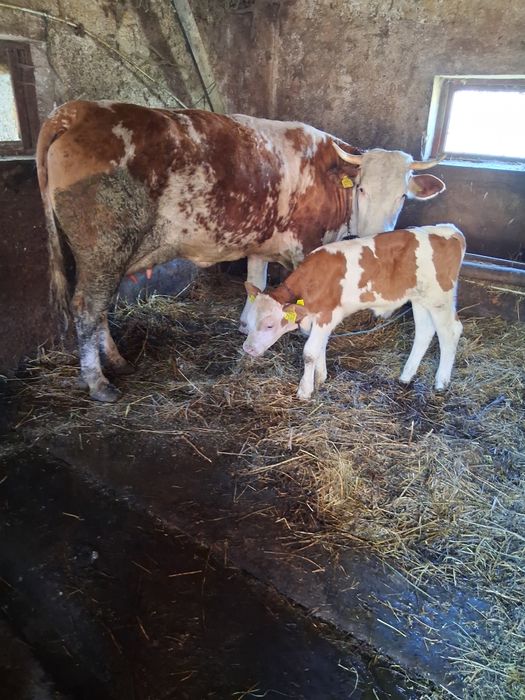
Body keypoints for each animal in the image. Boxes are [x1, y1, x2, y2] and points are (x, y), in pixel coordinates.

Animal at [242, 225, 466, 400]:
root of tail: (450, 230)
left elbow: (310, 352)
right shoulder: (322, 318)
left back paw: (441, 382)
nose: (247, 349)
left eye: (269, 325)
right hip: (420, 299)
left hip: (439, 298)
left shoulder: (326, 315)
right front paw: (321, 378)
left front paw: (305, 390)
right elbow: (320, 347)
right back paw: (406, 376)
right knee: (424, 332)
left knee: (450, 332)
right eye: (249, 322)